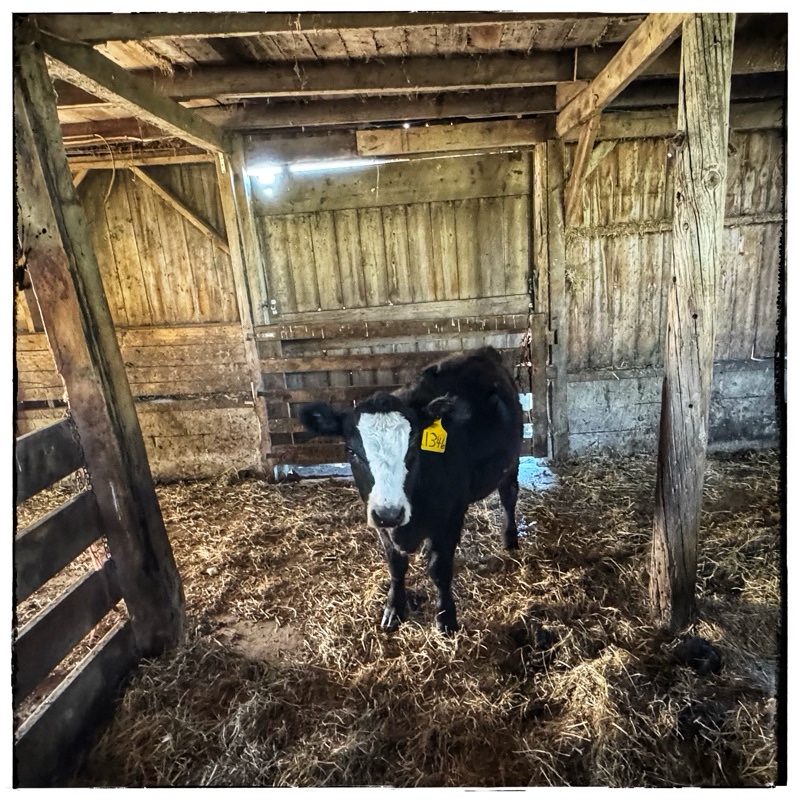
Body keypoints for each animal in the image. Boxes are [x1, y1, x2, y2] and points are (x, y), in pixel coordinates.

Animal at [299, 346, 523, 635]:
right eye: (351, 451)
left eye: (414, 446)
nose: (390, 513)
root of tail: (483, 351)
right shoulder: (381, 522)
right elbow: (396, 566)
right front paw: (394, 609)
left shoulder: (450, 515)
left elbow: (440, 569)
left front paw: (446, 619)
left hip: (512, 460)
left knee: (509, 495)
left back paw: (510, 539)